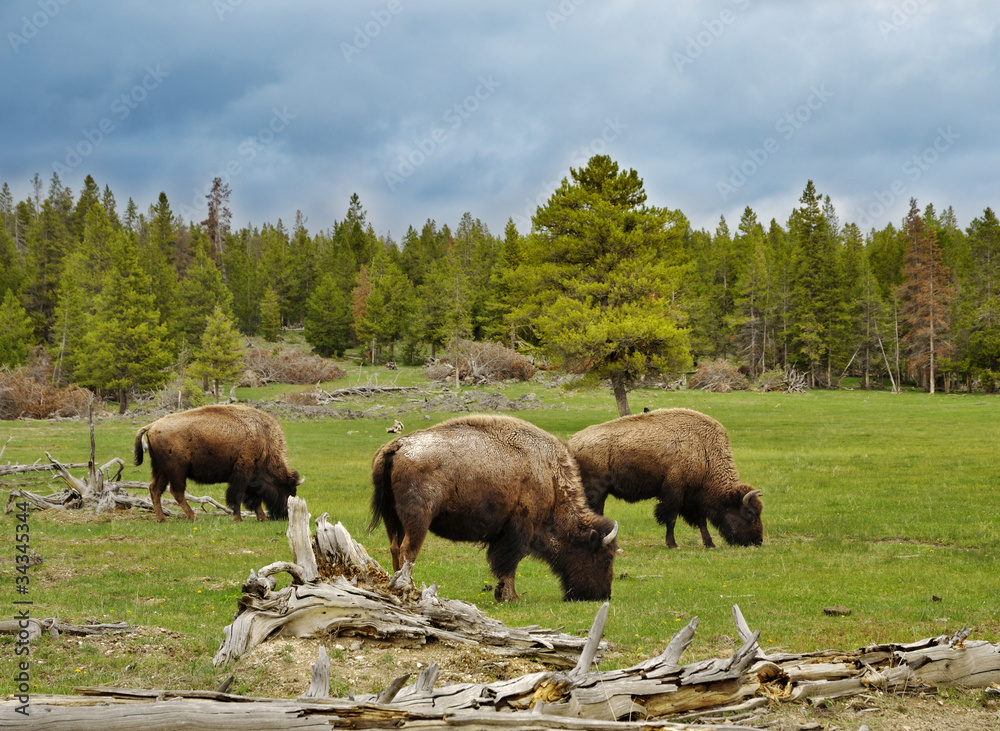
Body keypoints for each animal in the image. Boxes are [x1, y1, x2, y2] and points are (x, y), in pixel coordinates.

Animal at [135, 404, 302, 524]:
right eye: (286, 490)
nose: (284, 516)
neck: (263, 438)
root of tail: (152, 426)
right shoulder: (243, 472)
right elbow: (238, 496)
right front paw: (238, 518)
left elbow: (255, 499)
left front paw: (262, 518)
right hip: (177, 470)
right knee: (177, 491)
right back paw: (193, 517)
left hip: (161, 469)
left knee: (155, 489)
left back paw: (162, 519)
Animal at [368, 414, 616, 604]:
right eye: (605, 558)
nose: (602, 595)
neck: (549, 477)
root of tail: (397, 446)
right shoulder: (520, 528)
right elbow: (510, 562)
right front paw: (511, 597)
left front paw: (502, 593)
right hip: (418, 518)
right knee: (408, 550)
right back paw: (408, 588)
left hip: (393, 518)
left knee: (394, 547)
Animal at [572, 406, 764, 548]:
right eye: (749, 513)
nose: (757, 541)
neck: (704, 451)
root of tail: (574, 441)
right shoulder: (674, 493)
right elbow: (671, 518)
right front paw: (673, 544)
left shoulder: (694, 497)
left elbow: (701, 521)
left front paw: (710, 544)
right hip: (596, 490)